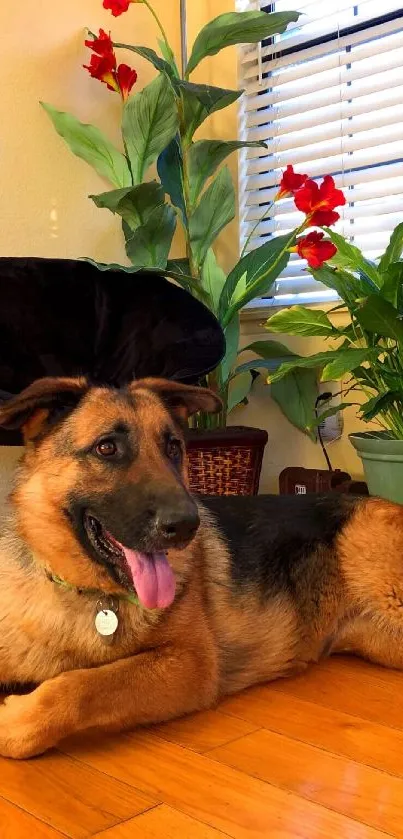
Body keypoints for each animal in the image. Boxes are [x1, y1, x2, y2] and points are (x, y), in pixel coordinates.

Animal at [0, 376, 403, 760]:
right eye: (106, 448)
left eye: (173, 447)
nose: (186, 525)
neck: (91, 595)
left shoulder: (190, 664)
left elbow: (84, 685)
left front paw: (14, 720)